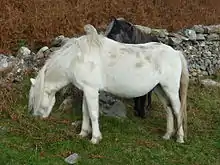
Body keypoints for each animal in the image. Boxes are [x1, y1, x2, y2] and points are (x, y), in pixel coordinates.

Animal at [28, 23, 189, 144]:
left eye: (35, 98)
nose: (36, 118)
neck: (76, 58)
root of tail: (176, 53)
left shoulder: (91, 90)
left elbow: (93, 114)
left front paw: (95, 138)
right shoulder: (87, 90)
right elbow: (85, 112)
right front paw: (83, 133)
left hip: (171, 89)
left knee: (177, 109)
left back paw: (179, 138)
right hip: (159, 88)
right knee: (168, 108)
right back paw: (167, 135)